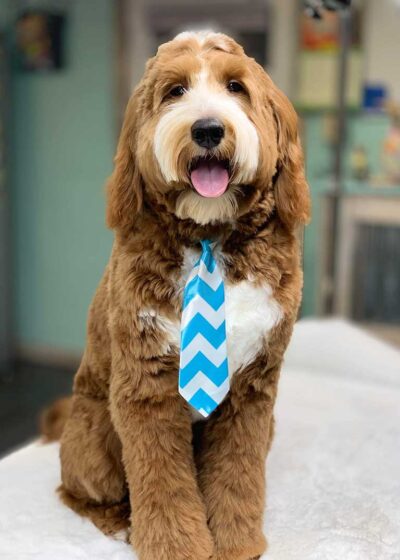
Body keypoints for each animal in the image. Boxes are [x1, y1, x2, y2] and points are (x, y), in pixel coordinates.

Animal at [57, 29, 310, 560]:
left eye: (236, 87)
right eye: (175, 91)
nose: (208, 129)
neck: (209, 235)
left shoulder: (253, 388)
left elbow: (237, 472)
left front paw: (236, 541)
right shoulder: (146, 385)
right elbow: (163, 481)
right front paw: (177, 546)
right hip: (93, 439)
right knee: (78, 492)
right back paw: (120, 522)